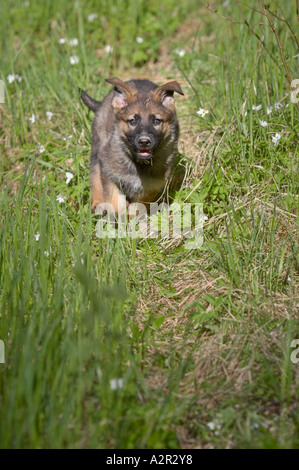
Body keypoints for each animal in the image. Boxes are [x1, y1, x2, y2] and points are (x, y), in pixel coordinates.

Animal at [81, 78, 184, 214]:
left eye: (156, 121)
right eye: (133, 121)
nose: (144, 142)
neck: (140, 164)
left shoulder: (151, 187)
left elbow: (138, 207)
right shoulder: (108, 173)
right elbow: (116, 202)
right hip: (98, 149)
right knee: (95, 176)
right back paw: (98, 203)